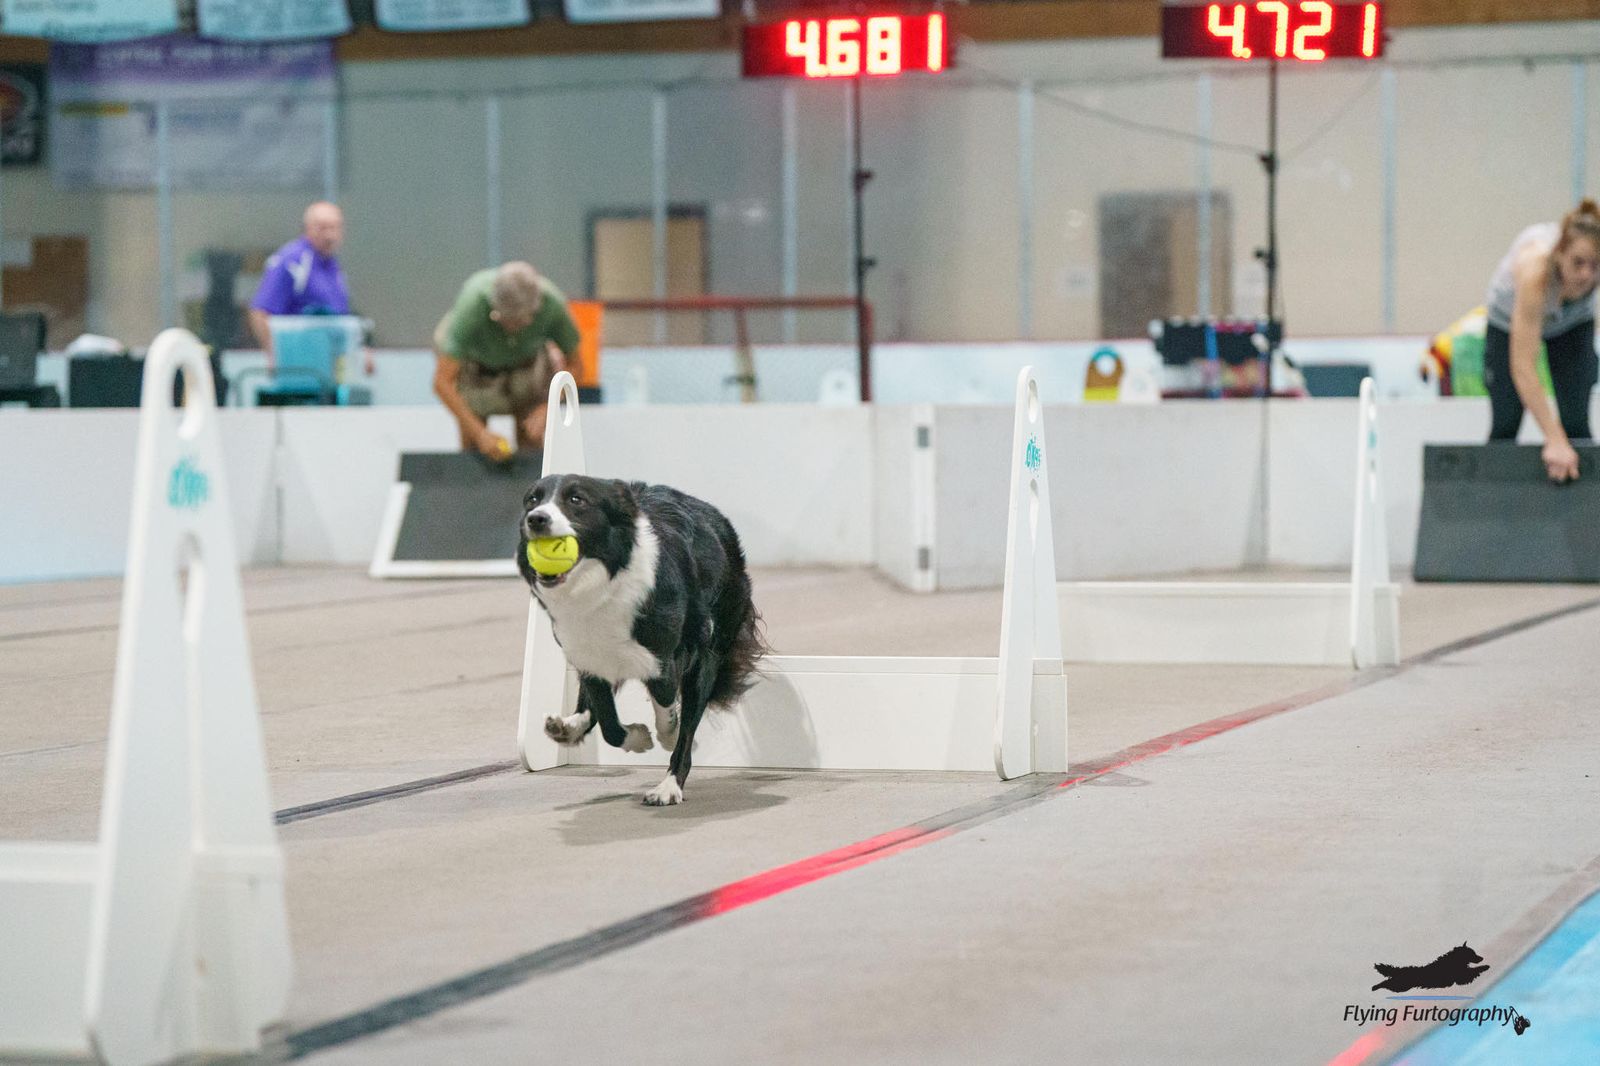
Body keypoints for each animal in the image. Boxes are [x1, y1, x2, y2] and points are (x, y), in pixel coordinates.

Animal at [518, 474, 766, 806]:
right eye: (532, 500)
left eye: (576, 500)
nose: (536, 519)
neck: (598, 584)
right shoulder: (588, 654)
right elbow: (609, 724)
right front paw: (638, 737)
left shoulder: (664, 657)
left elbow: (665, 703)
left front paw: (666, 733)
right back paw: (565, 727)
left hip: (710, 648)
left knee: (689, 720)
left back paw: (668, 785)